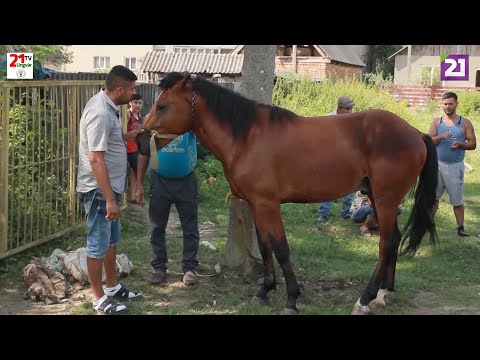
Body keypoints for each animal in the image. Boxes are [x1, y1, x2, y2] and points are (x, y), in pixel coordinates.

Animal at [138, 71, 438, 314]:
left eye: (162, 105)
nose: (140, 140)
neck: (247, 137)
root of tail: (416, 133)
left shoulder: (269, 205)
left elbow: (281, 248)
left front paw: (291, 299)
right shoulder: (255, 204)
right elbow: (264, 246)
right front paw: (264, 290)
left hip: (386, 200)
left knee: (386, 243)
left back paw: (364, 299)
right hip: (377, 197)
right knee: (394, 239)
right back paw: (383, 294)